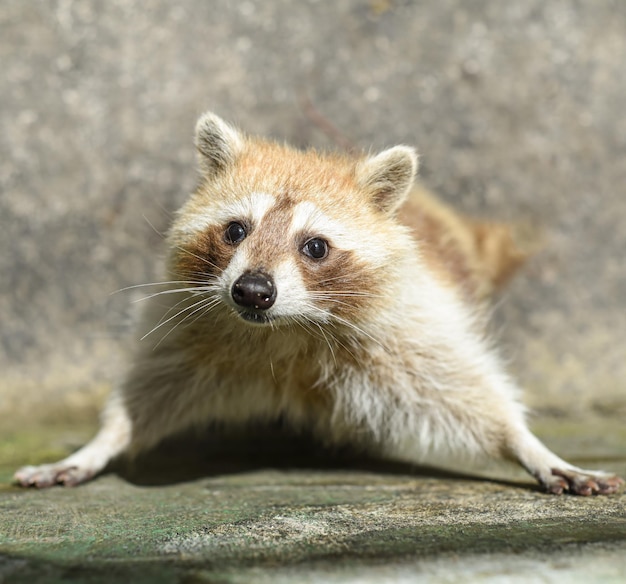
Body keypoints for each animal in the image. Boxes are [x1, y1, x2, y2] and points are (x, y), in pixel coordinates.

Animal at [15, 112, 624, 496]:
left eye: (315, 246)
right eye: (235, 230)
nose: (252, 291)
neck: (286, 327)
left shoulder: (403, 323)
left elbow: (464, 390)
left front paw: (529, 445)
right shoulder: (198, 322)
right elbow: (148, 391)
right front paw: (101, 443)